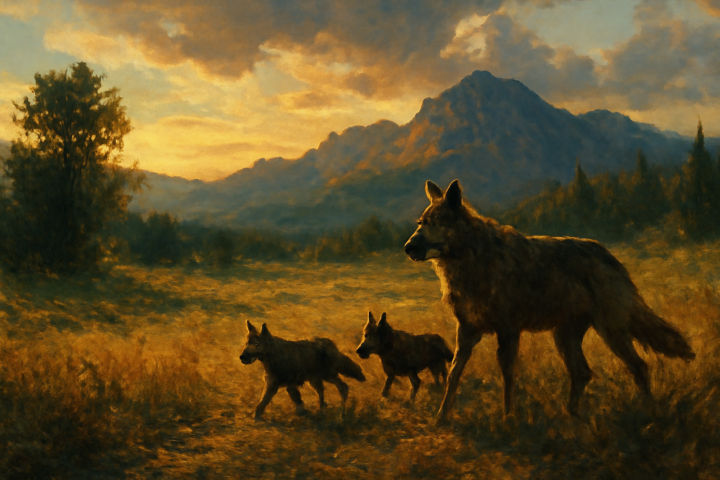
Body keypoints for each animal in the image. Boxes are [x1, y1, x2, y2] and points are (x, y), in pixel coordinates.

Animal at [404, 179, 695, 421]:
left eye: (436, 222)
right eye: (420, 223)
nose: (408, 247)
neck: (471, 260)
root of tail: (610, 256)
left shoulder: (508, 332)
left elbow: (508, 378)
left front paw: (508, 419)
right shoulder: (466, 332)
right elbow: (453, 376)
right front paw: (441, 418)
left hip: (611, 332)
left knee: (639, 366)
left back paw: (649, 414)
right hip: (565, 337)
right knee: (583, 373)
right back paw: (572, 417)